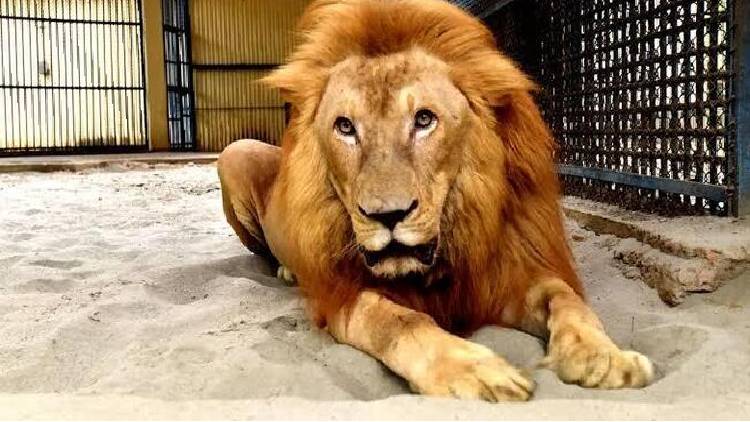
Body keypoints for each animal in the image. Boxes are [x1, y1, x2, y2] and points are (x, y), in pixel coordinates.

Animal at [217, 0, 654, 401]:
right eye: (345, 126)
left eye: (424, 120)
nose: (387, 215)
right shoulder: (342, 293)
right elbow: (397, 321)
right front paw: (477, 372)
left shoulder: (506, 277)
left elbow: (566, 299)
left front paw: (604, 357)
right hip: (233, 153)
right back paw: (287, 271)